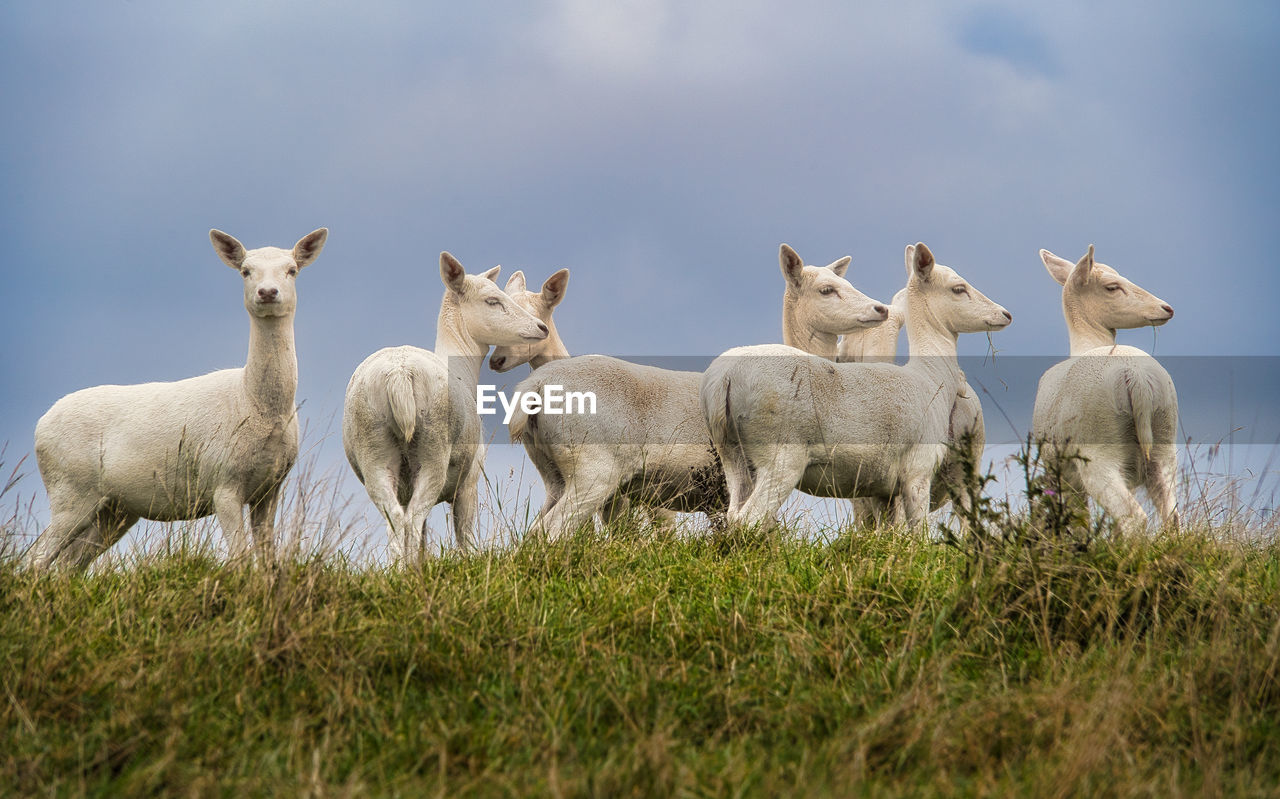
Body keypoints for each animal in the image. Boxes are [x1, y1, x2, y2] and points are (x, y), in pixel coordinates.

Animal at [22, 227, 327, 571]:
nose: (267, 292)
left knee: (68, 564)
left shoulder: (271, 486)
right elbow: (239, 557)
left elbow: (267, 556)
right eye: (245, 271)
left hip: (114, 509)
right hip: (69, 488)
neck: (254, 403)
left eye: (292, 270)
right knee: (35, 558)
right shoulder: (222, 479)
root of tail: (39, 426)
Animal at [340, 252, 545, 558]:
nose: (541, 327)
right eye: (492, 300)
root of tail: (399, 373)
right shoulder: (470, 480)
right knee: (413, 517)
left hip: (372, 448)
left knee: (396, 520)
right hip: (434, 449)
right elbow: (465, 537)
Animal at [504, 243, 885, 540]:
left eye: (846, 281)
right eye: (826, 289)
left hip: (553, 469)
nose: (880, 308)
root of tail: (533, 388)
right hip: (594, 465)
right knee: (555, 528)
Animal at [701, 243, 1008, 530]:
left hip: (732, 454)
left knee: (734, 513)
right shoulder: (917, 469)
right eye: (959, 288)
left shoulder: (881, 487)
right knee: (749, 519)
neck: (932, 378)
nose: (1005, 314)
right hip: (781, 454)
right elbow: (918, 535)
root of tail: (724, 378)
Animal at [1034, 243, 1172, 530]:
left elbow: (1079, 520)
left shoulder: (1060, 471)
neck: (1085, 343)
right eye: (1112, 286)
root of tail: (1135, 375)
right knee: (1172, 515)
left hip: (1096, 452)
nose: (1166, 308)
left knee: (1133, 517)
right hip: (1165, 441)